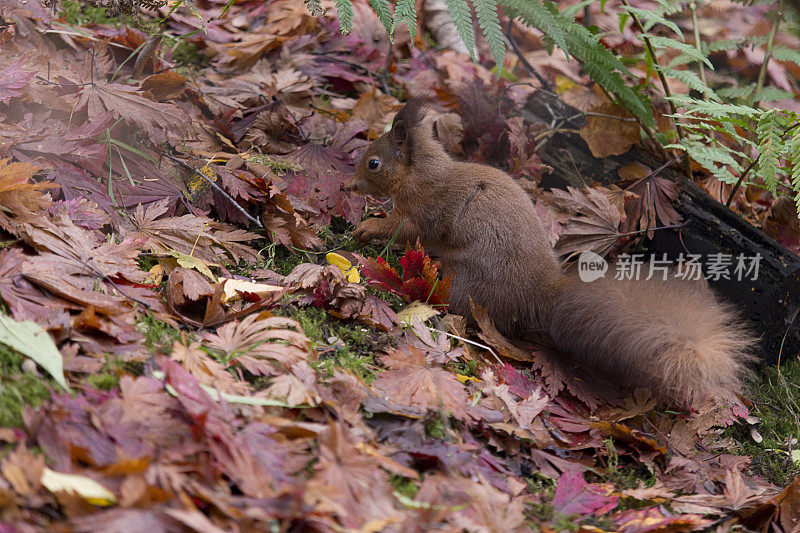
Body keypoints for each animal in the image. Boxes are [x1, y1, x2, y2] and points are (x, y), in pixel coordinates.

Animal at [354, 97, 752, 402]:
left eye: (373, 162)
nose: (352, 184)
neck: (421, 173)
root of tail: (538, 295)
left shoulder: (424, 212)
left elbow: (404, 229)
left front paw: (367, 227)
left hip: (465, 282)